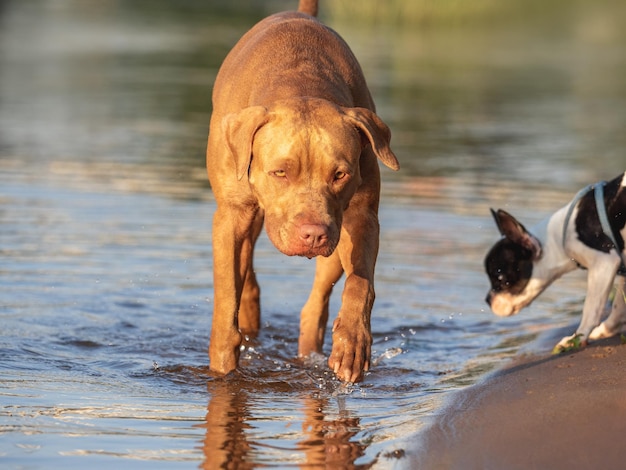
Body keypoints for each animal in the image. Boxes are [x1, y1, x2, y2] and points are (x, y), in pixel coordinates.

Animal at [207, 0, 398, 382]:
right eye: (280, 172)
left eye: (339, 174)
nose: (313, 234)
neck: (301, 84)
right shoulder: (231, 217)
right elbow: (227, 292)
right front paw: (223, 362)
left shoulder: (361, 217)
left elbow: (360, 284)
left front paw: (353, 343)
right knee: (246, 269)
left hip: (337, 239)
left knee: (317, 303)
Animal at [482, 173, 624, 352]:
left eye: (500, 279)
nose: (488, 300)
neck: (559, 237)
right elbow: (618, 307)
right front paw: (606, 330)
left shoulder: (604, 263)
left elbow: (591, 309)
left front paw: (577, 338)